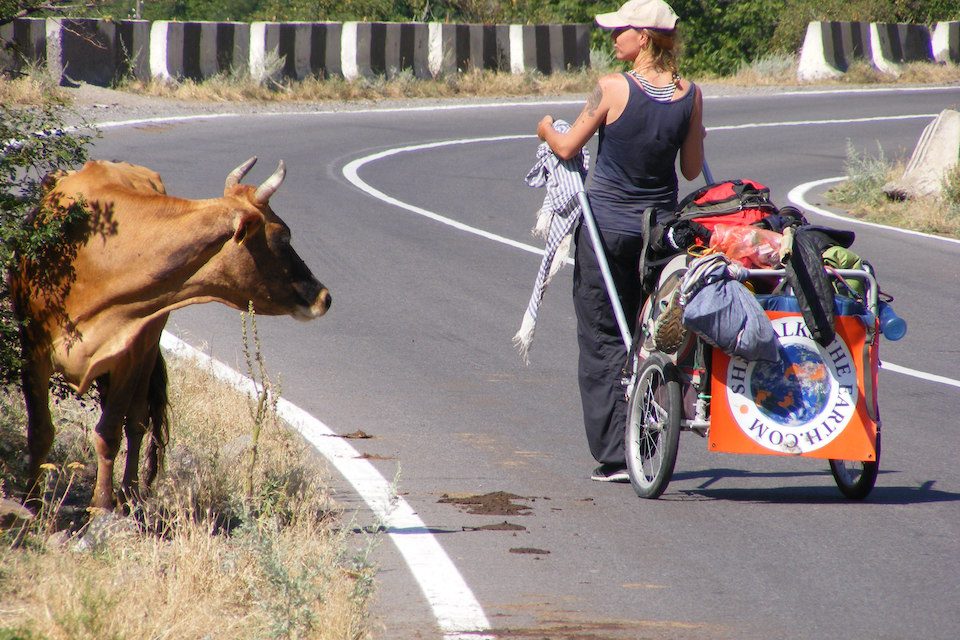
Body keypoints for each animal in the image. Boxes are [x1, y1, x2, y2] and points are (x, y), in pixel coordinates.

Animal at [9, 156, 332, 510]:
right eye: (284, 236)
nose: (324, 296)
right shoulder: (33, 349)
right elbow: (40, 429)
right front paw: (31, 501)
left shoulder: (129, 354)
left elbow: (111, 432)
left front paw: (101, 507)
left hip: (148, 348)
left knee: (137, 421)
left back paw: (131, 494)